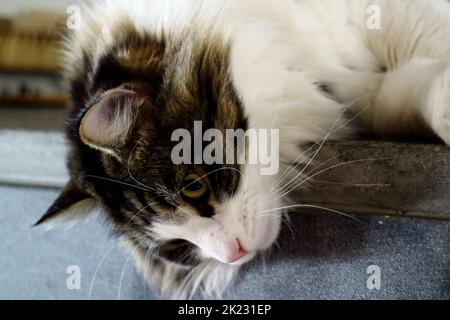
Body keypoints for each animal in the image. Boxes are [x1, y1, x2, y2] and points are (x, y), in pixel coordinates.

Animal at [37, 0, 450, 300]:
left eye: (194, 187)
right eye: (177, 245)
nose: (232, 253)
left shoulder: (386, 16)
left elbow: (428, 43)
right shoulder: (364, 94)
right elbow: (407, 91)